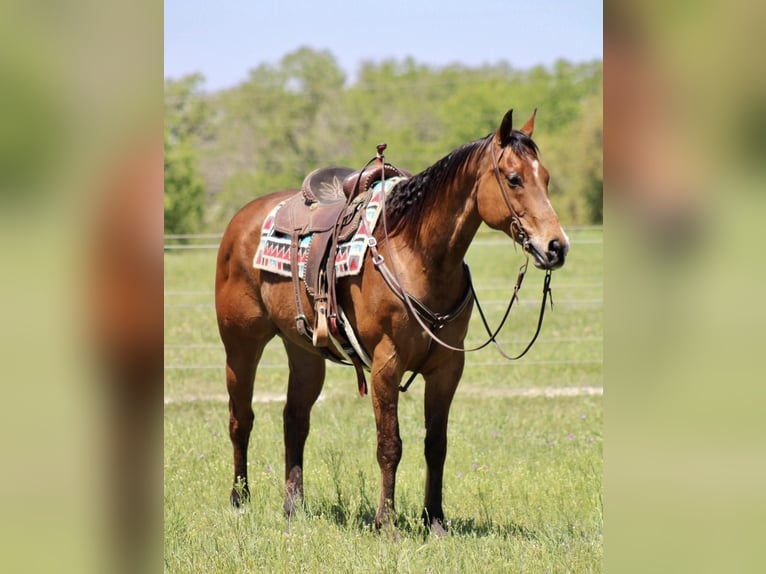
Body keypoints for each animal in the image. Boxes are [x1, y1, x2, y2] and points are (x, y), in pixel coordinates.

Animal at [216, 109, 568, 536]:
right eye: (514, 178)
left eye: (545, 177)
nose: (557, 246)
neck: (417, 254)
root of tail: (242, 220)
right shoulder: (387, 364)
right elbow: (390, 445)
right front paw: (387, 523)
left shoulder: (448, 368)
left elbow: (436, 444)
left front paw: (435, 520)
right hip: (240, 345)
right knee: (241, 418)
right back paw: (240, 501)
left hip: (304, 352)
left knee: (294, 420)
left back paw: (293, 506)